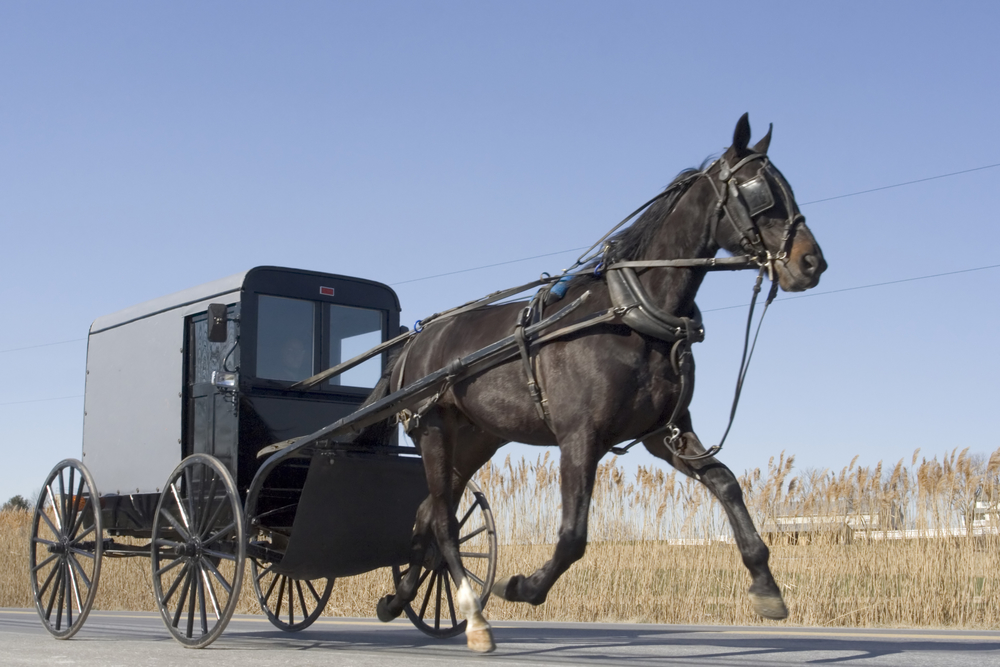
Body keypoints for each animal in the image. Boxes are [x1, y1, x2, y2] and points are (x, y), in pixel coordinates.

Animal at [372, 116, 824, 652]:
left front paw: (765, 584)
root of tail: (414, 343)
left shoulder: (664, 434)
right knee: (442, 519)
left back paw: (400, 599)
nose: (812, 263)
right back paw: (475, 617)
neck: (631, 314)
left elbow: (727, 484)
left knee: (428, 513)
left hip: (477, 439)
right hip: (434, 431)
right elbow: (572, 535)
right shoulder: (580, 436)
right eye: (759, 192)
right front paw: (522, 586)